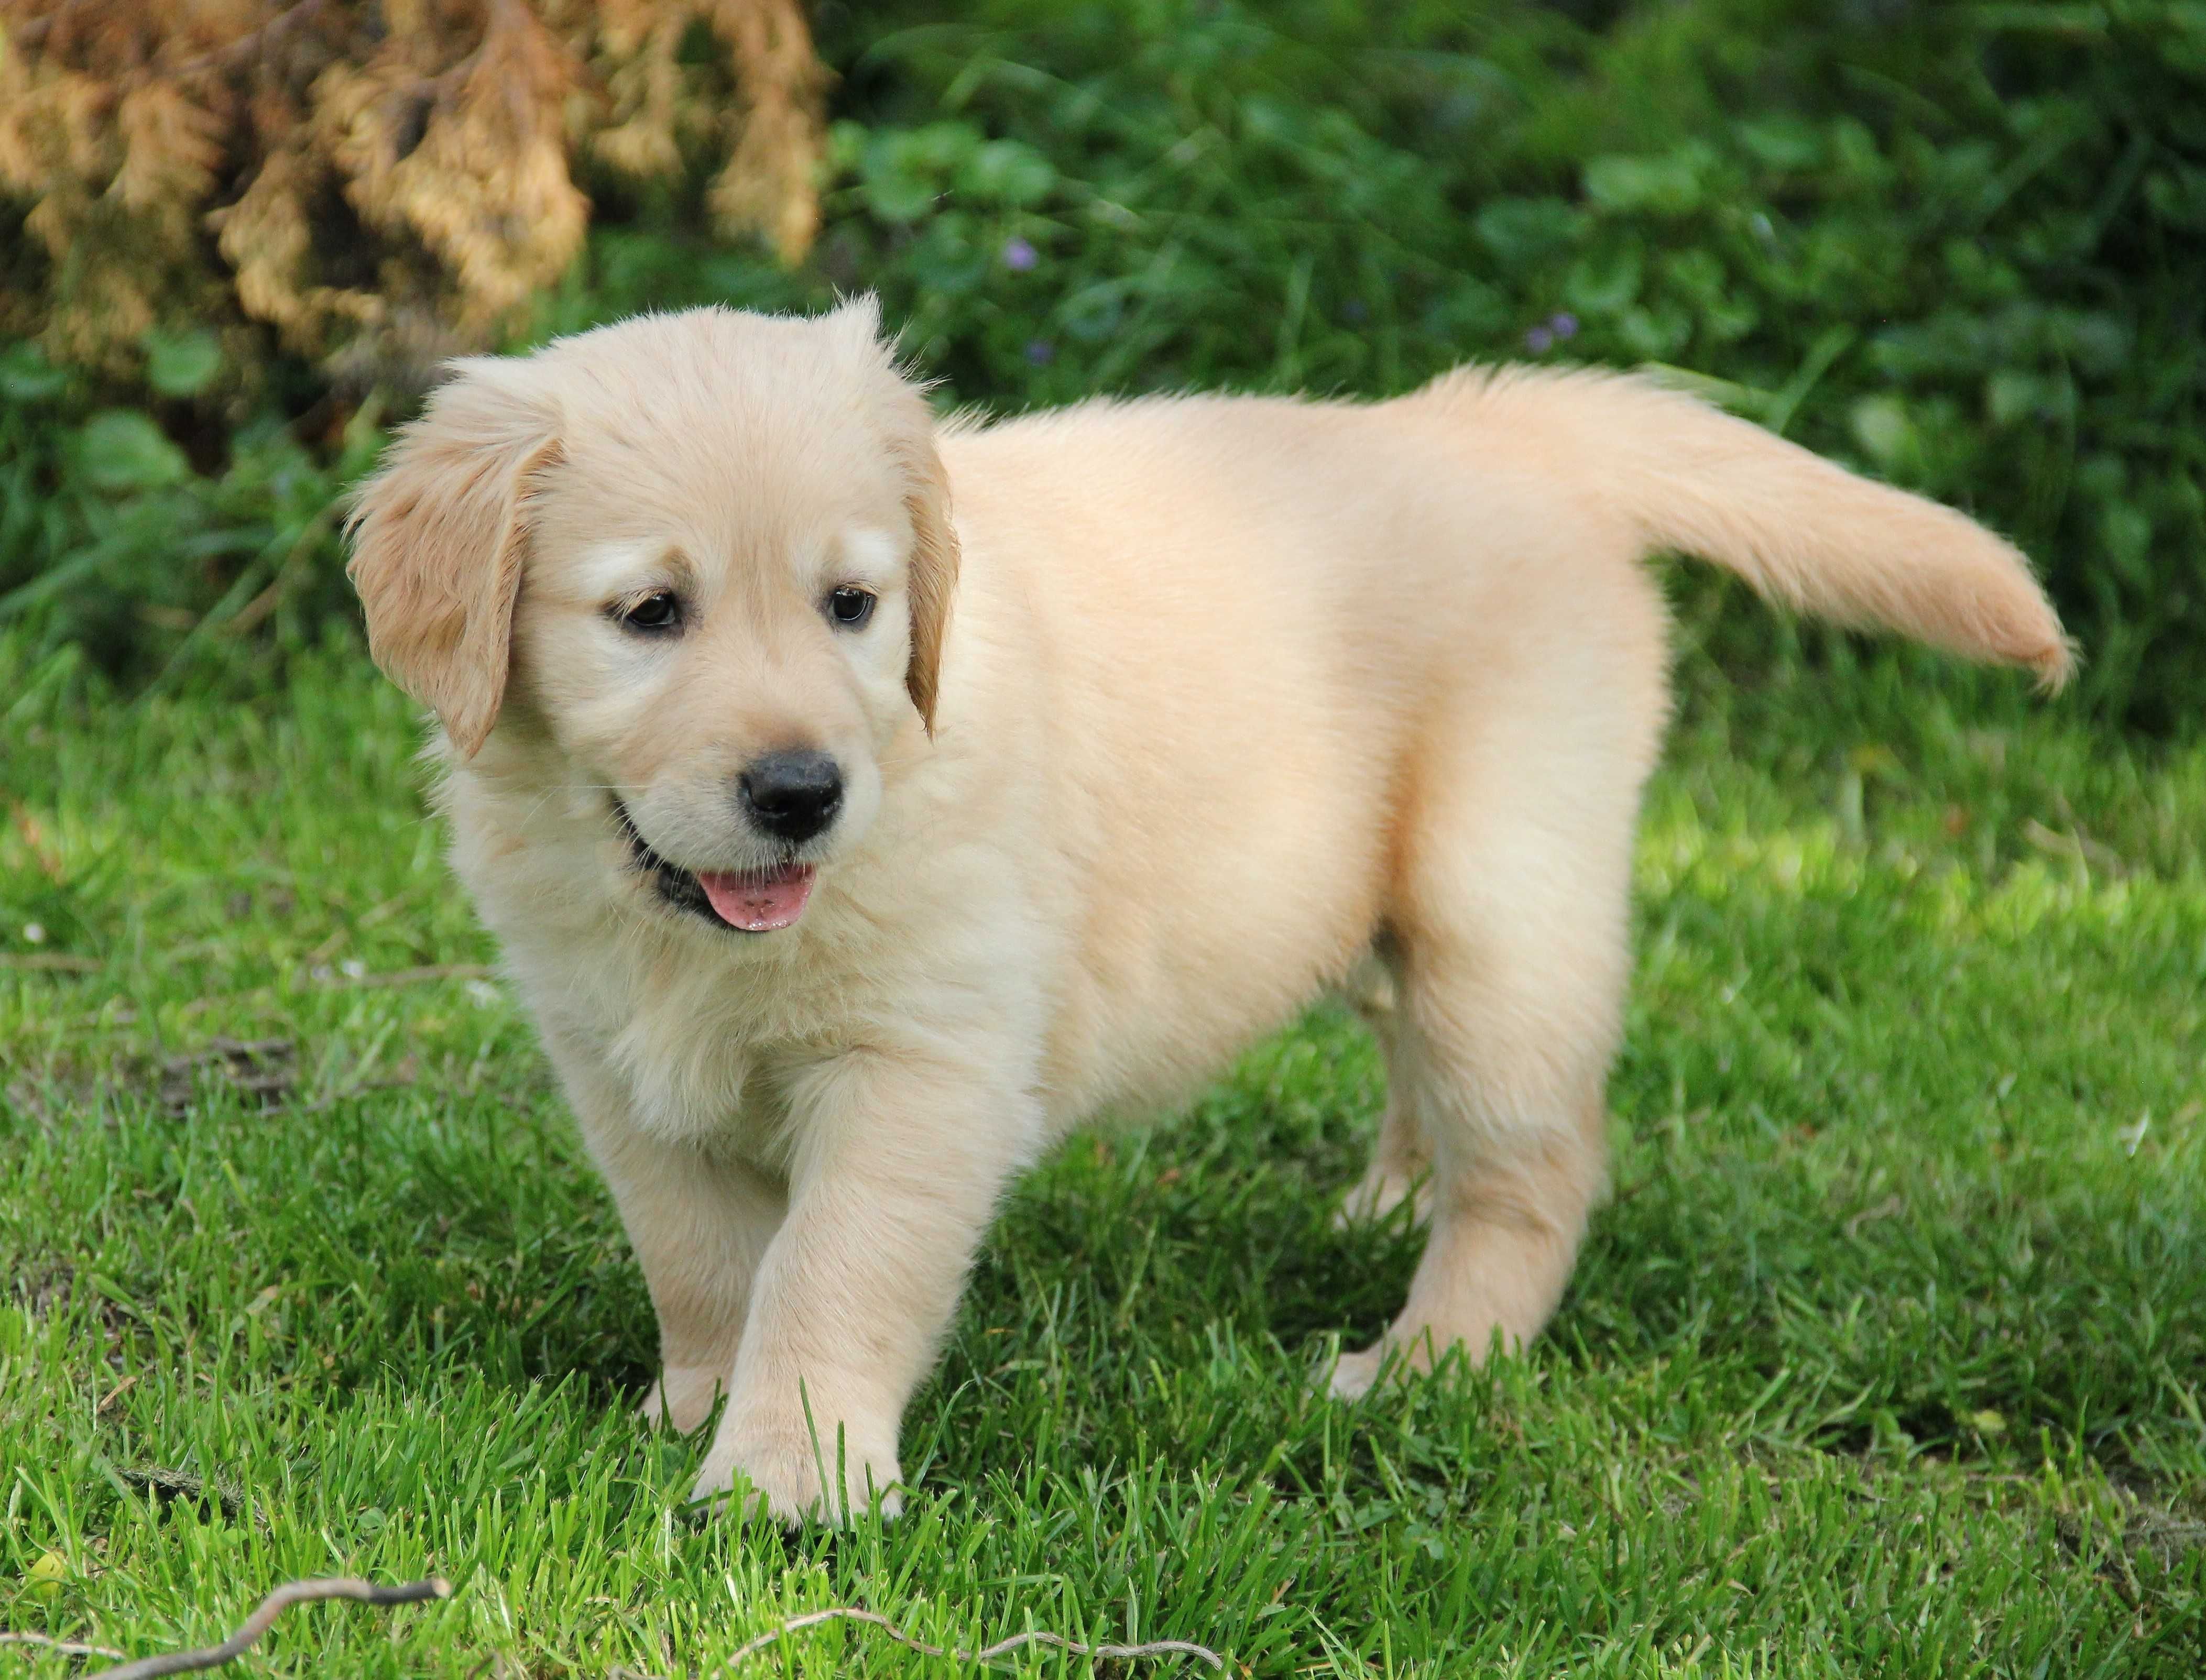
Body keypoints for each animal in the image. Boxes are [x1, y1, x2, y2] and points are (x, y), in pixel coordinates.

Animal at [344, 298, 2065, 1517]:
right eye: (649, 613)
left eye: (852, 605)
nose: (801, 791)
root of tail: (1491, 428)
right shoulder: (613, 1062)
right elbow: (699, 1257)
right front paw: (691, 1409)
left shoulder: (923, 1066)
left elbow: (832, 1265)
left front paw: (793, 1476)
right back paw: (1386, 1206)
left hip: (1496, 902)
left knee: (1540, 1162)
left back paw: (1424, 1359)